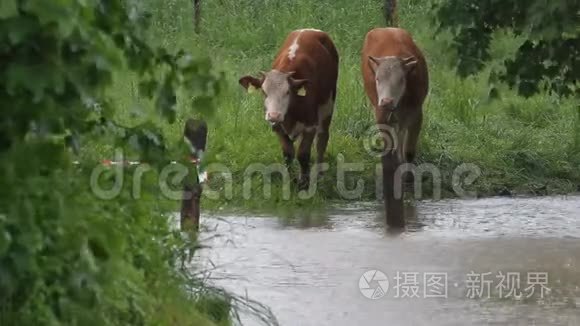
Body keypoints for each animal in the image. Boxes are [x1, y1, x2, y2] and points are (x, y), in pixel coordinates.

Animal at [239, 30, 340, 190]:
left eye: (287, 92)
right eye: (264, 92)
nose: (274, 115)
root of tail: (309, 30)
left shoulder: (310, 125)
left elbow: (303, 154)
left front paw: (304, 182)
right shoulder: (278, 128)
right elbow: (288, 154)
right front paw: (290, 180)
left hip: (327, 106)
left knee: (322, 139)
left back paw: (319, 173)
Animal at [360, 26, 428, 227]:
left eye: (401, 80)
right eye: (377, 79)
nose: (386, 101)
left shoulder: (416, 115)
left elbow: (409, 151)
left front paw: (408, 179)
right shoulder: (381, 115)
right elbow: (390, 149)